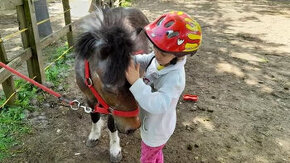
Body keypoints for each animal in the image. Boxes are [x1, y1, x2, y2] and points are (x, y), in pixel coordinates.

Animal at [73, 7, 151, 162]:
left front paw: (115, 150)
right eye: (109, 89)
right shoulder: (89, 98)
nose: (133, 128)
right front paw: (94, 136)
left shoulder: (112, 108)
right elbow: (94, 116)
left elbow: (111, 125)